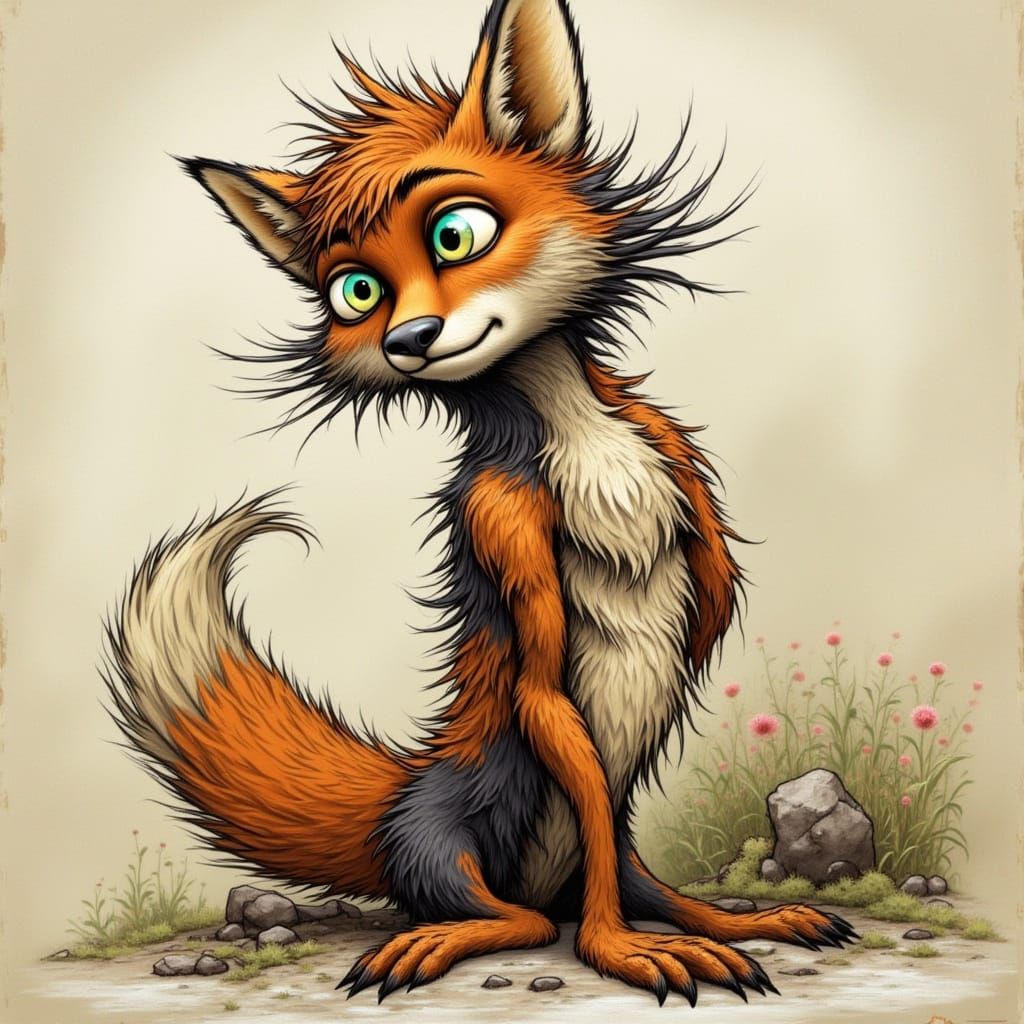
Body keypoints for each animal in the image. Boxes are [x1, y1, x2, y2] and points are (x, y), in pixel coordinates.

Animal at [104, 0, 856, 1006]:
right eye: (357, 291)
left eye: (455, 234)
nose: (411, 338)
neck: (582, 435)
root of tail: (402, 793)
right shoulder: (501, 522)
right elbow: (545, 691)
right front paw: (620, 954)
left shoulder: (669, 452)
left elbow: (713, 595)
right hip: (453, 835)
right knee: (530, 916)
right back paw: (468, 933)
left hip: (600, 840)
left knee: (635, 883)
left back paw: (733, 919)